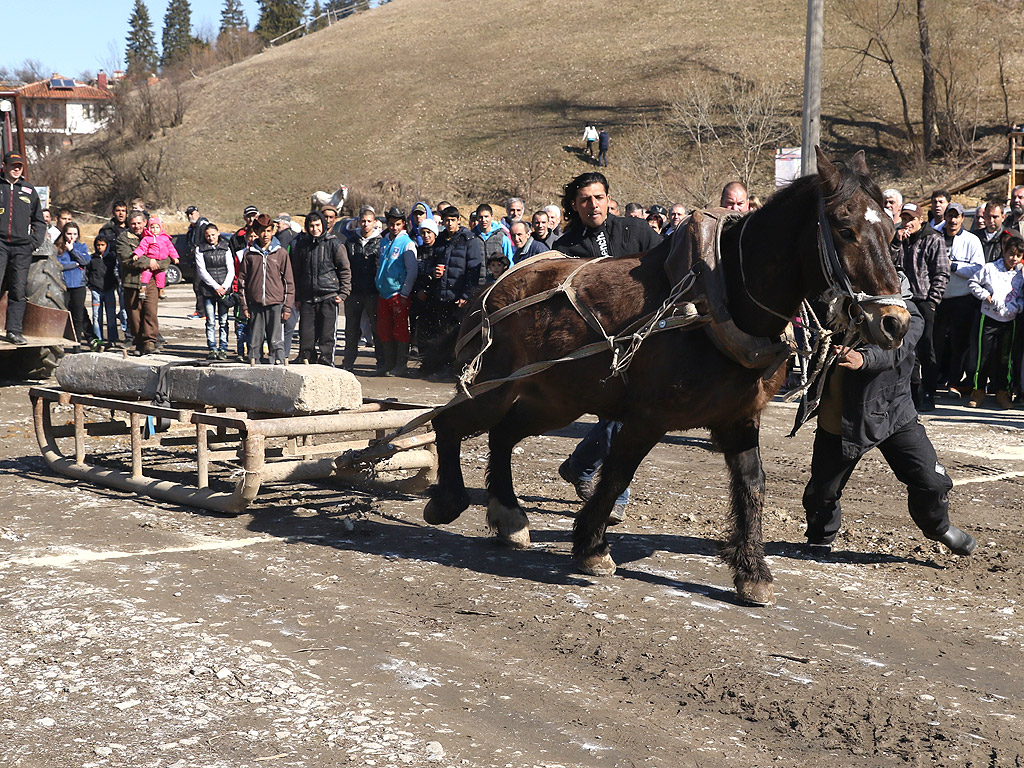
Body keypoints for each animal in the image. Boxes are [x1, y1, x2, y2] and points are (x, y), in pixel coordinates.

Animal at [423, 150, 913, 606]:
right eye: (844, 228)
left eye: (892, 232)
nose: (895, 322)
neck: (722, 298)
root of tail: (494, 286)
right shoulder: (648, 418)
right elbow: (617, 473)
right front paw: (592, 548)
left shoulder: (739, 418)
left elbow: (752, 485)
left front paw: (752, 571)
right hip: (499, 385)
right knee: (449, 423)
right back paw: (449, 501)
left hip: (554, 398)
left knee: (503, 434)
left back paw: (508, 517)